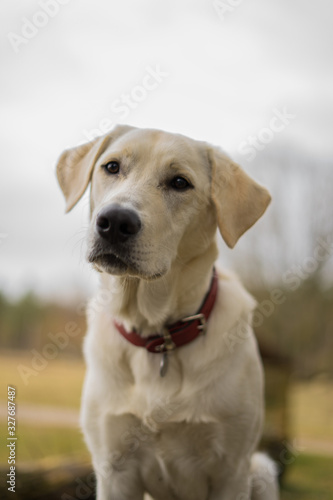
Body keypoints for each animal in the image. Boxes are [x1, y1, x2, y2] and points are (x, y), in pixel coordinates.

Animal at [56, 126, 278, 500]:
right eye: (111, 167)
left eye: (179, 182)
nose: (115, 221)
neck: (156, 332)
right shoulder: (113, 469)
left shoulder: (230, 471)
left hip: (260, 469)